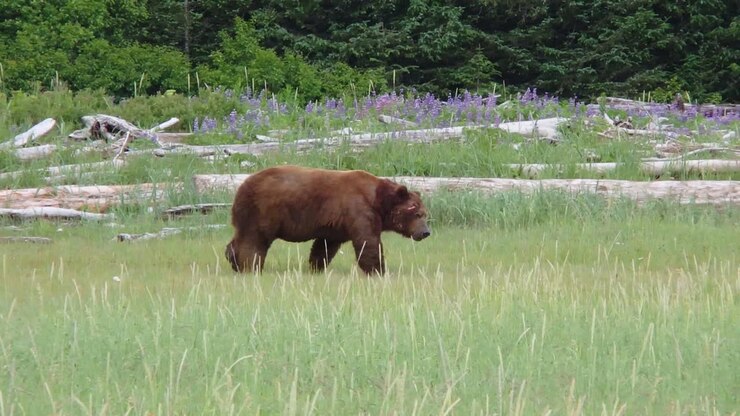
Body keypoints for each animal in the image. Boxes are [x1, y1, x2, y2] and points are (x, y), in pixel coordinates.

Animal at [225, 165, 430, 275]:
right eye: (417, 213)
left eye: (425, 214)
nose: (425, 232)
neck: (378, 201)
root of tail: (242, 186)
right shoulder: (358, 209)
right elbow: (368, 241)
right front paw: (378, 270)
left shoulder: (335, 225)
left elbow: (324, 246)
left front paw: (316, 267)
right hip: (263, 211)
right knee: (254, 239)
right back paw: (250, 267)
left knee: (240, 237)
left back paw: (234, 261)